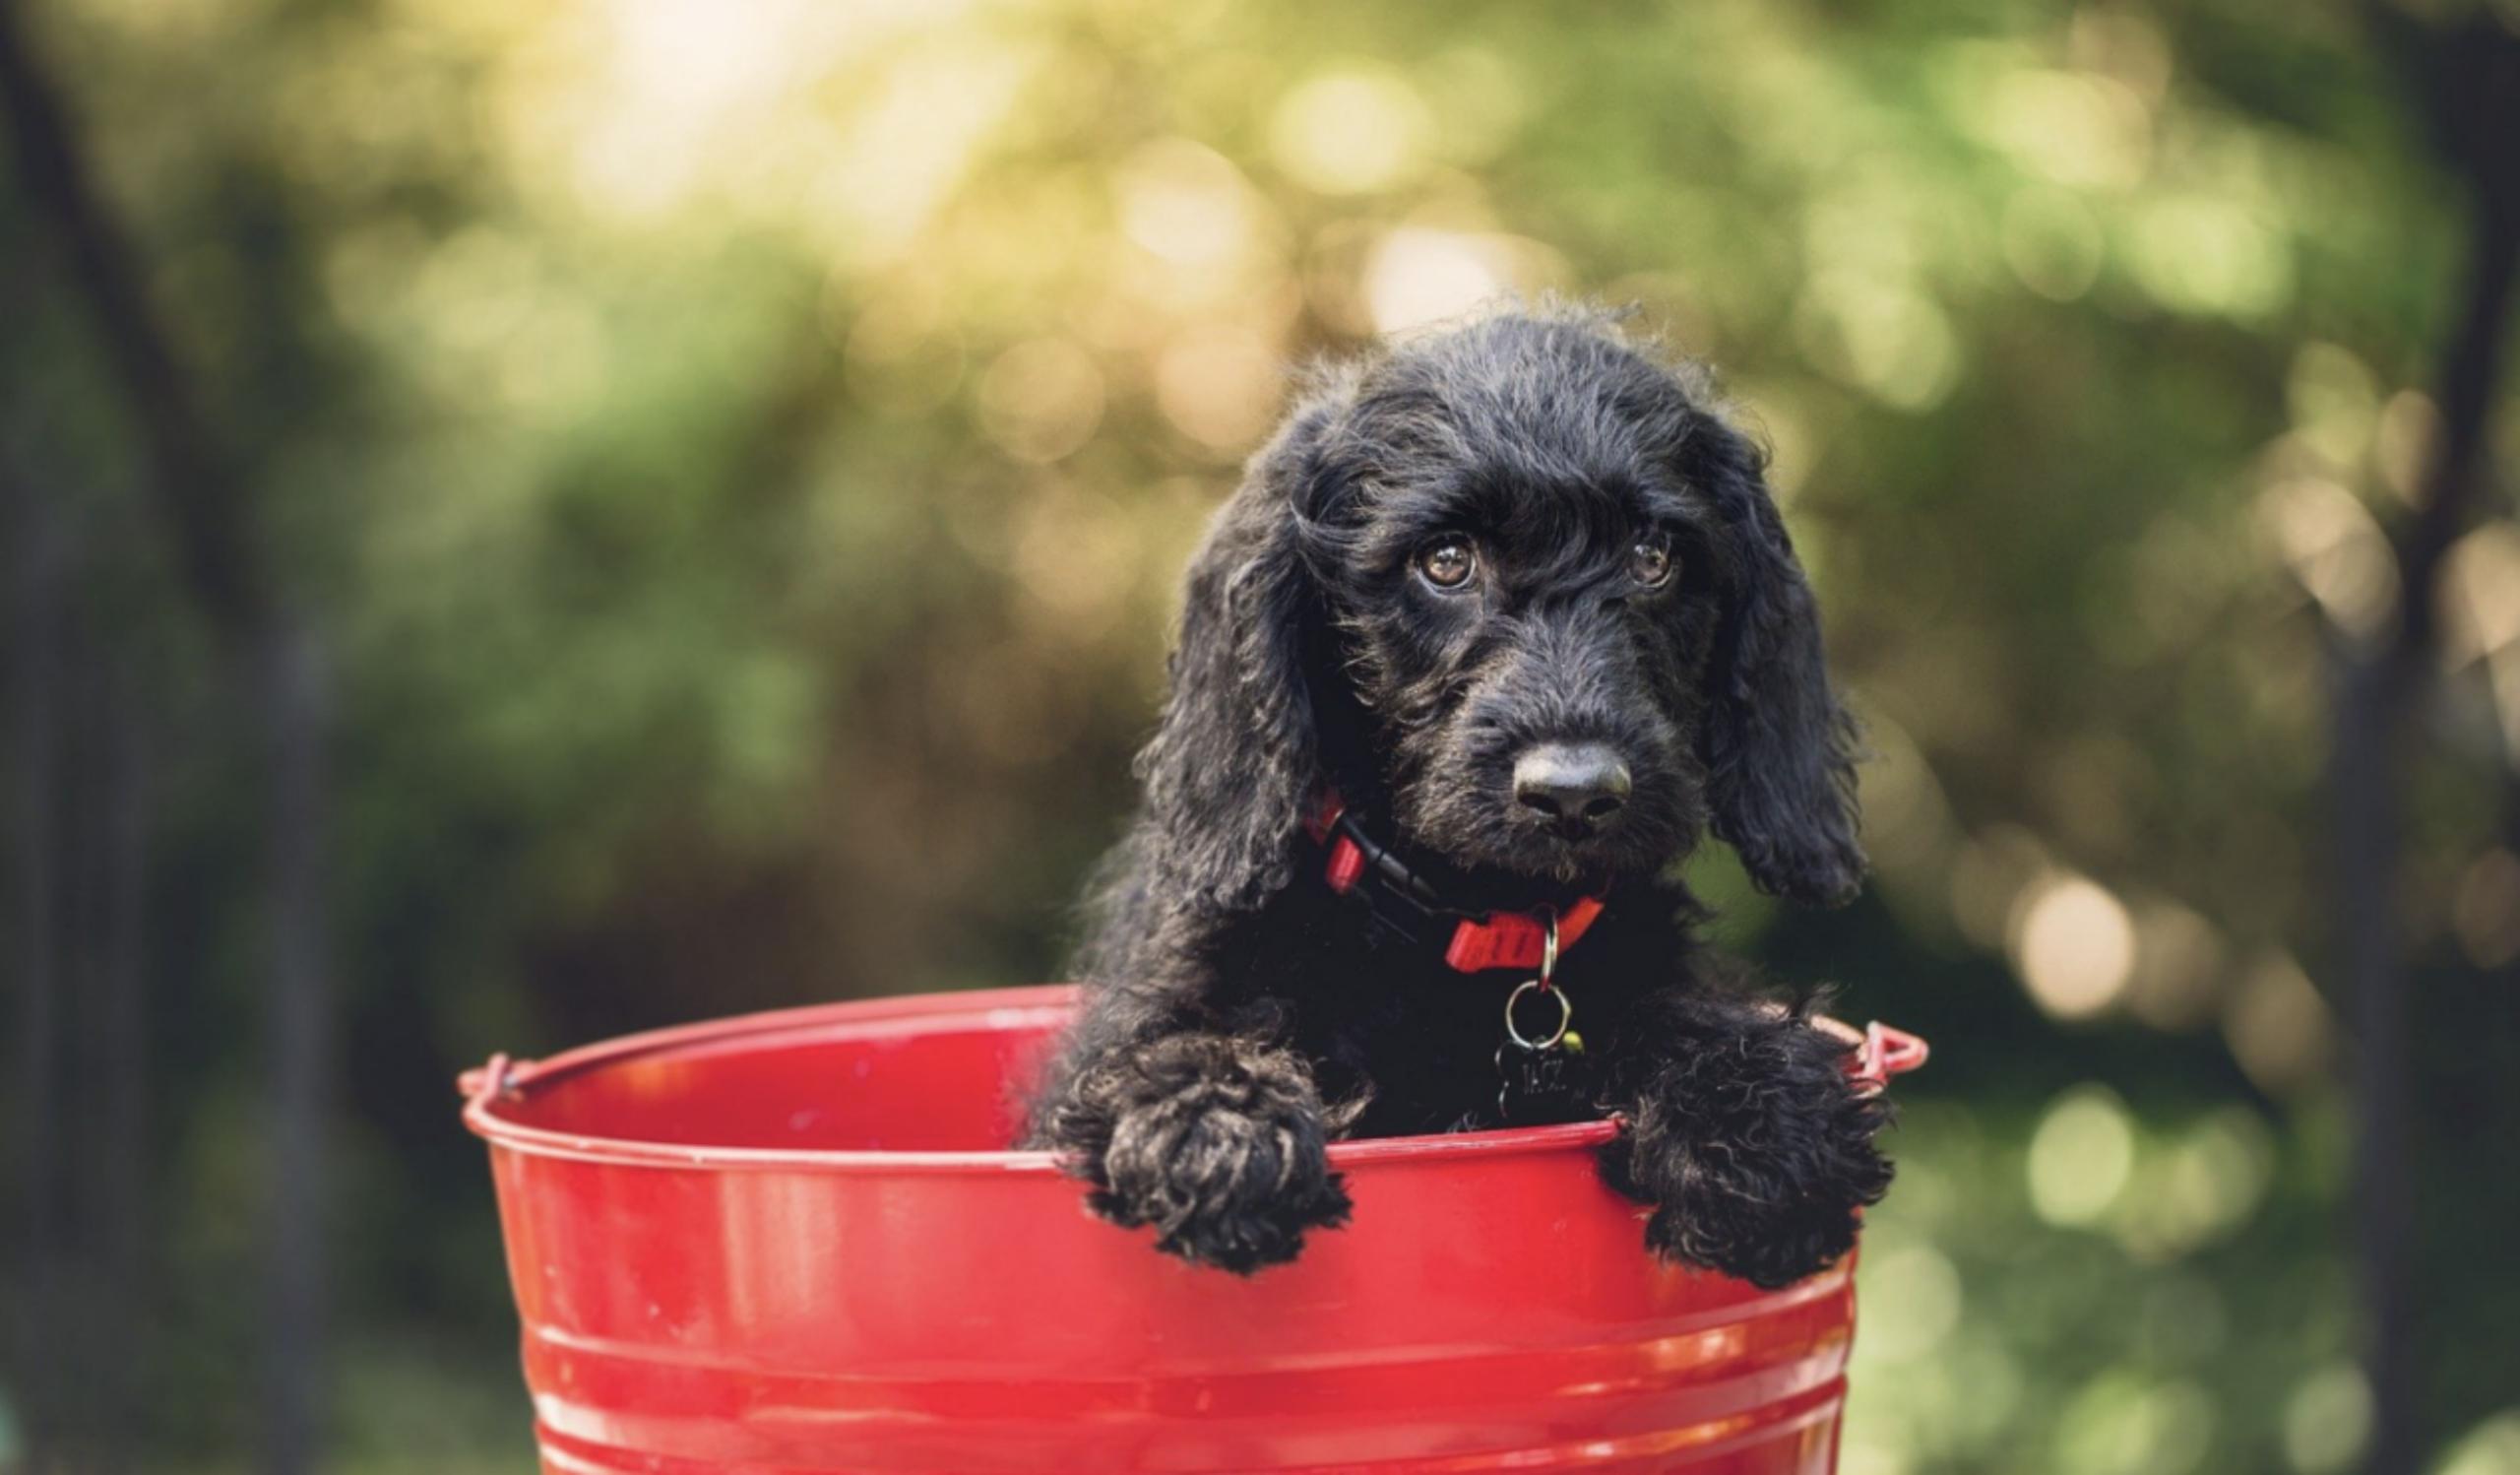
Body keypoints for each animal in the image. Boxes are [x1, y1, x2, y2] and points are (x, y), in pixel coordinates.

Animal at [1023, 304, 1895, 1280]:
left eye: (1654, 557)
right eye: (1445, 562)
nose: (1575, 794)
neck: (1468, 924)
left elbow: (1681, 1010)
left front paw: (1758, 1113)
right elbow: (1172, 1044)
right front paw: (1214, 1127)